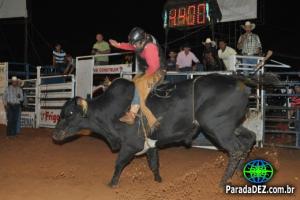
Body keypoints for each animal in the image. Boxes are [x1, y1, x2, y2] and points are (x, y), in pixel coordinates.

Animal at [52, 73, 278, 188]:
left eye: (69, 113)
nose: (54, 134)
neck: (111, 111)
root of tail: (238, 81)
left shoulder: (130, 144)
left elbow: (119, 163)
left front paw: (112, 183)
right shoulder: (150, 143)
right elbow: (154, 163)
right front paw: (158, 180)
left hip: (217, 127)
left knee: (236, 149)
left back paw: (224, 181)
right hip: (233, 125)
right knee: (249, 139)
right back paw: (241, 173)